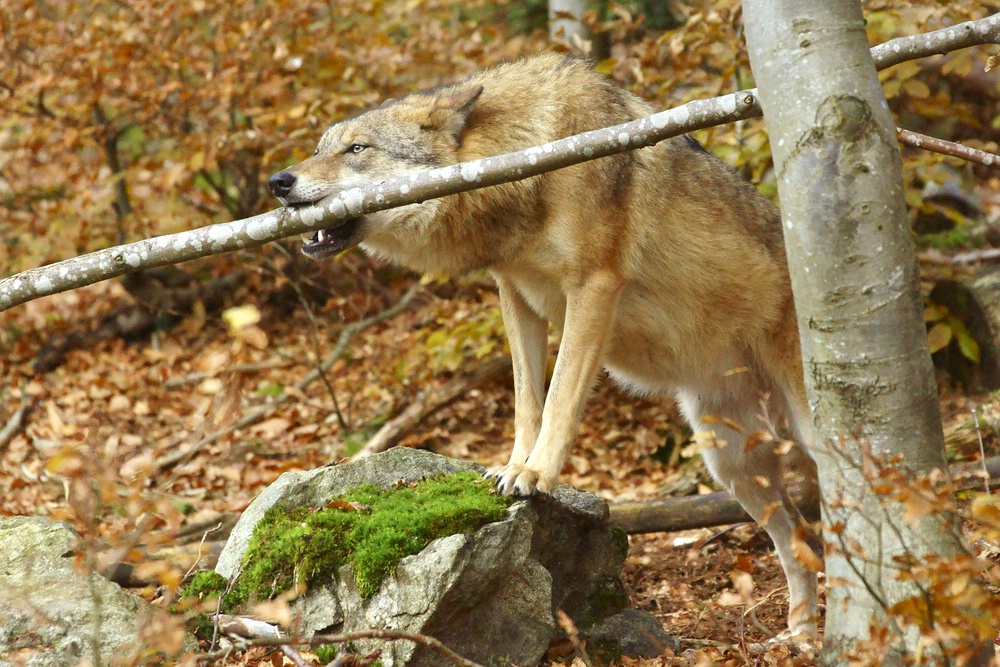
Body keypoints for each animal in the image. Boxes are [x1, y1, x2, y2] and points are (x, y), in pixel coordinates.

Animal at [268, 54, 820, 640]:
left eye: (357, 149)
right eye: (321, 147)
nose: (278, 182)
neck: (527, 162)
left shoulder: (593, 288)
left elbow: (558, 400)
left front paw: (537, 475)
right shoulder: (515, 294)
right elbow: (526, 401)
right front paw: (514, 466)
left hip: (806, 431)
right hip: (732, 463)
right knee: (801, 540)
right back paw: (801, 634)